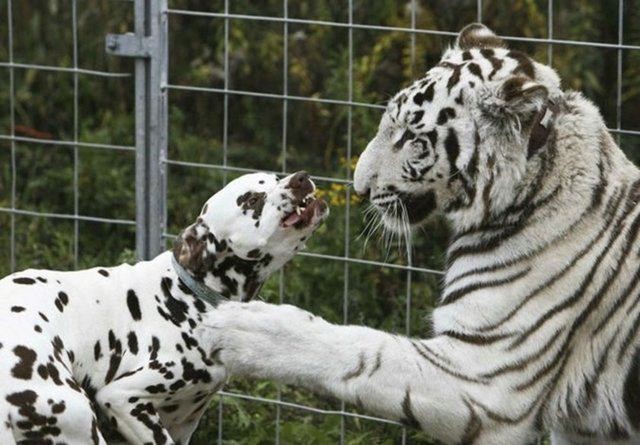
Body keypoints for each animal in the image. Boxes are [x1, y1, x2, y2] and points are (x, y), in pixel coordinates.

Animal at [0, 169, 328, 440]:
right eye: (251, 199)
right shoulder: (123, 399)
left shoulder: (184, 421)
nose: (300, 178)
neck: (186, 296)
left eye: (276, 178)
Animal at [200, 25, 640, 444]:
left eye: (412, 138)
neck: (530, 184)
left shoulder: (486, 377)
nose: (359, 187)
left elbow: (363, 348)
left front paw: (242, 327)